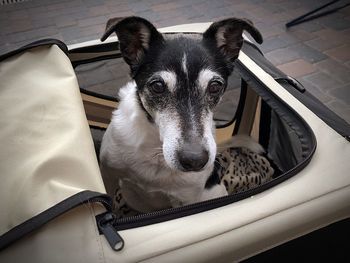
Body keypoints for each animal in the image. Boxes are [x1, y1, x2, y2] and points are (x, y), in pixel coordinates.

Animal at [98, 16, 262, 214]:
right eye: (157, 86)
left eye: (215, 86)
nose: (195, 160)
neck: (156, 150)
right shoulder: (107, 174)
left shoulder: (186, 200)